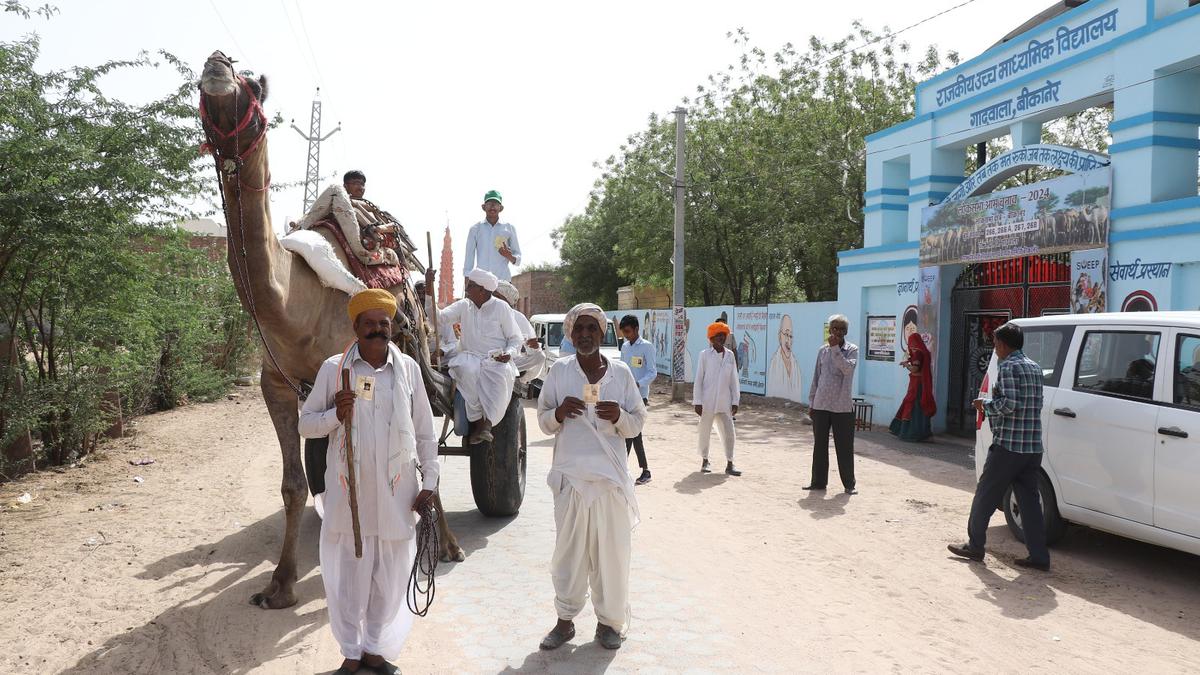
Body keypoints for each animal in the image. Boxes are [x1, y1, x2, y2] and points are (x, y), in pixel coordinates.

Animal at [196, 52, 463, 610]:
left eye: (254, 84)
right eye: (198, 81)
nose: (217, 63)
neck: (292, 304)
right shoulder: (275, 384)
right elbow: (293, 486)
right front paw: (279, 584)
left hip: (418, 359)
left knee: (429, 442)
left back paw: (448, 544)